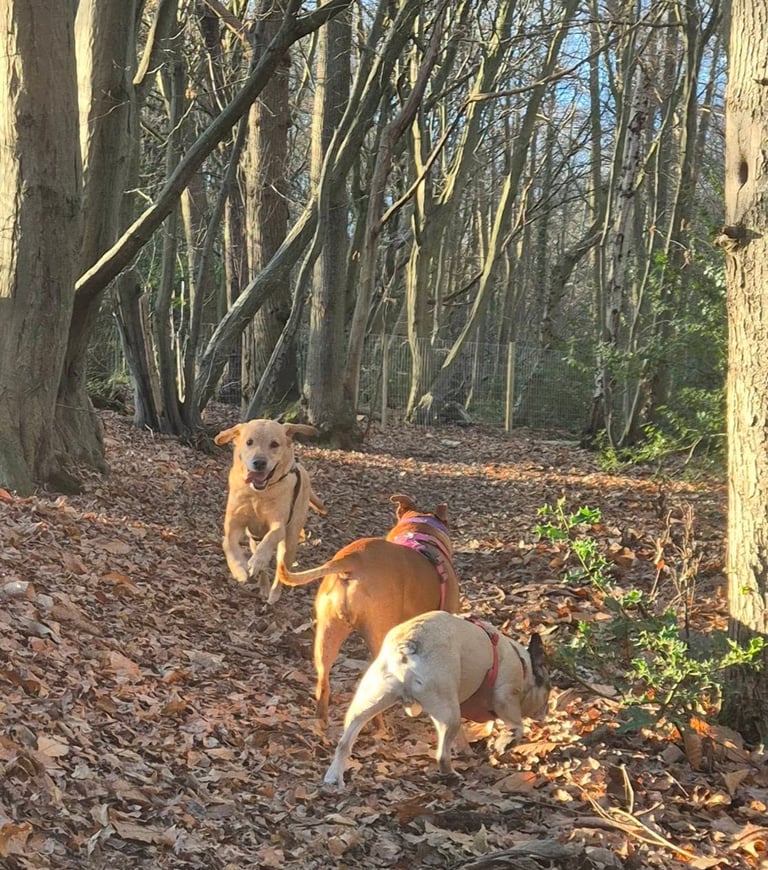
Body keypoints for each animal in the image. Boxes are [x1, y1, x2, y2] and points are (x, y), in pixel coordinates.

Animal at [214, 419, 325, 602]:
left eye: (274, 444)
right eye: (249, 442)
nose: (259, 462)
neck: (258, 494)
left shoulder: (278, 525)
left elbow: (269, 539)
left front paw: (255, 562)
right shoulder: (233, 524)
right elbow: (227, 544)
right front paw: (239, 568)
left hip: (290, 539)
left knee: (282, 568)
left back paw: (273, 593)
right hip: (254, 539)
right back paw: (263, 586)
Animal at [323, 611, 550, 787]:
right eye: (547, 692)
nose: (545, 711)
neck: (525, 666)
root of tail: (409, 646)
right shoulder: (506, 696)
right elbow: (517, 726)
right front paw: (505, 742)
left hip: (368, 700)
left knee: (345, 741)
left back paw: (333, 776)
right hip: (449, 714)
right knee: (442, 755)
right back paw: (452, 775)